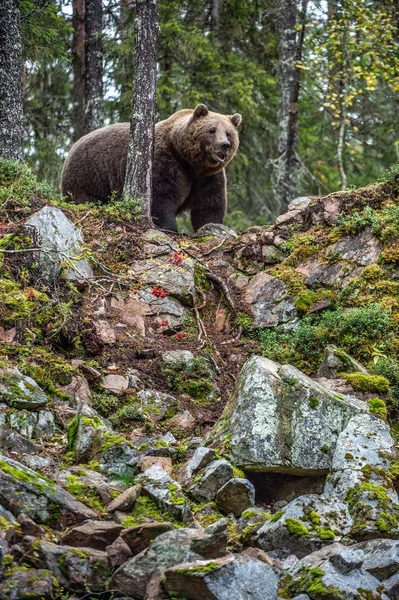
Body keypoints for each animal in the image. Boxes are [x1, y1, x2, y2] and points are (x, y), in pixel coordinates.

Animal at [60, 105, 241, 232]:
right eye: (212, 130)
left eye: (228, 133)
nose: (224, 145)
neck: (190, 162)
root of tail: (72, 146)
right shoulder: (165, 161)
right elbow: (161, 196)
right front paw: (170, 227)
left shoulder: (208, 176)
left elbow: (209, 204)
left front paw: (212, 226)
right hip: (91, 173)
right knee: (89, 197)